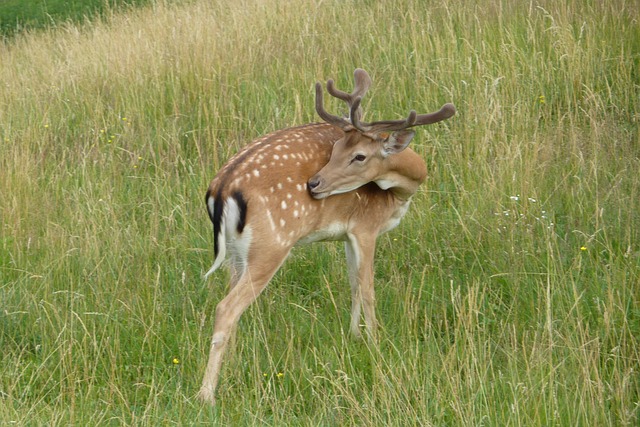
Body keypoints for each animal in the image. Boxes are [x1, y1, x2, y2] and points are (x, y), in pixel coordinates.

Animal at [198, 68, 455, 404]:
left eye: (358, 155)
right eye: (335, 150)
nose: (314, 183)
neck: (401, 192)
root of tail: (222, 188)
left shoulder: (346, 234)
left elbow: (353, 284)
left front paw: (354, 336)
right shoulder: (366, 226)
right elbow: (368, 288)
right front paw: (375, 344)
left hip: (236, 252)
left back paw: (233, 363)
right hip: (271, 246)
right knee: (225, 308)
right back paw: (206, 394)